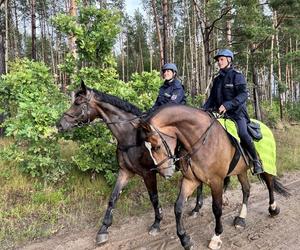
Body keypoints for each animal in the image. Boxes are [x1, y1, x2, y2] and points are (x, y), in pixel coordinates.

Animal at [56, 80, 204, 246]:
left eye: (77, 103)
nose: (60, 125)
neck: (131, 137)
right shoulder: (125, 172)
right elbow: (113, 198)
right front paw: (103, 230)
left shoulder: (148, 174)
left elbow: (154, 198)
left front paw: (157, 223)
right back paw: (196, 209)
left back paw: (196, 209)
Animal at [141, 104, 290, 250]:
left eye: (157, 146)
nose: (165, 173)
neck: (202, 141)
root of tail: (265, 126)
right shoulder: (191, 180)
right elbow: (178, 207)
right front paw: (185, 240)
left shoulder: (216, 181)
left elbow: (217, 208)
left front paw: (216, 237)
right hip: (241, 170)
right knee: (246, 189)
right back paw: (241, 219)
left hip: (267, 166)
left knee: (270, 184)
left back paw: (273, 209)